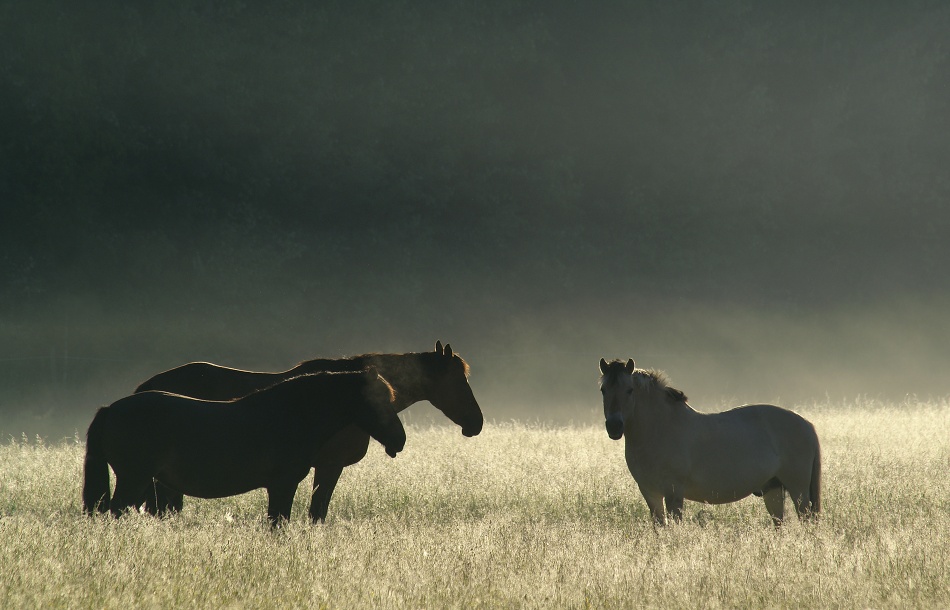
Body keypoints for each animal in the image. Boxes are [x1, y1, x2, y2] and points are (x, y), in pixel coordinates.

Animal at [82, 368, 406, 524]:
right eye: (380, 401)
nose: (400, 440)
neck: (291, 415)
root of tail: (110, 409)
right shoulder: (282, 485)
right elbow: (278, 523)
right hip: (133, 479)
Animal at [600, 358, 820, 524]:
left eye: (629, 390)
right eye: (603, 390)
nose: (614, 426)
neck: (660, 429)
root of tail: (807, 425)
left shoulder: (673, 494)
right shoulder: (650, 493)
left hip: (798, 490)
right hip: (772, 488)